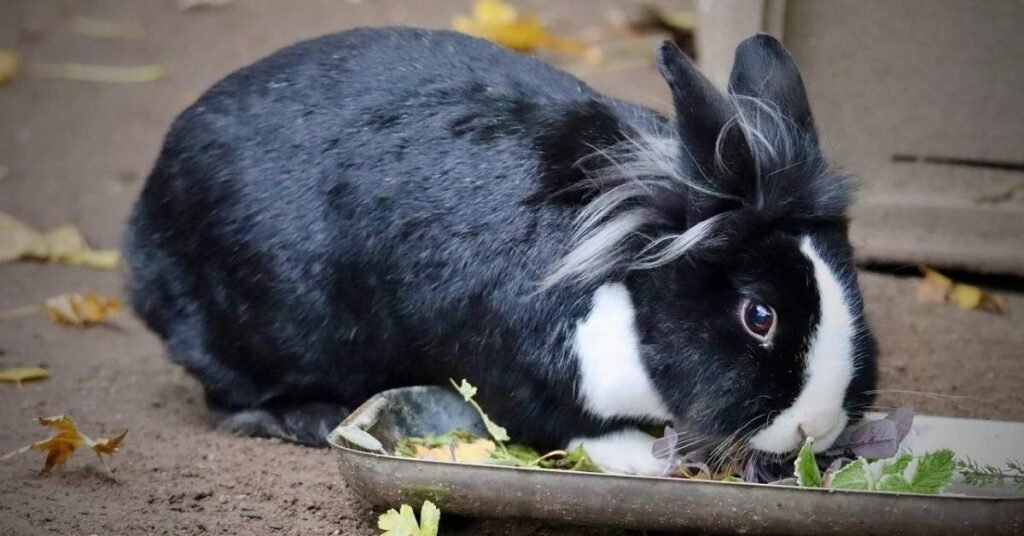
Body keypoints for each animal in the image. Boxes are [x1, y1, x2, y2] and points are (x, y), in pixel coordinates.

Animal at [124, 27, 877, 475]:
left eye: (853, 285)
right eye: (759, 316)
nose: (817, 426)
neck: (629, 260)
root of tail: (142, 233)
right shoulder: (514, 368)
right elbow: (568, 425)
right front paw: (651, 460)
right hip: (250, 326)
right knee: (225, 395)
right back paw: (305, 419)